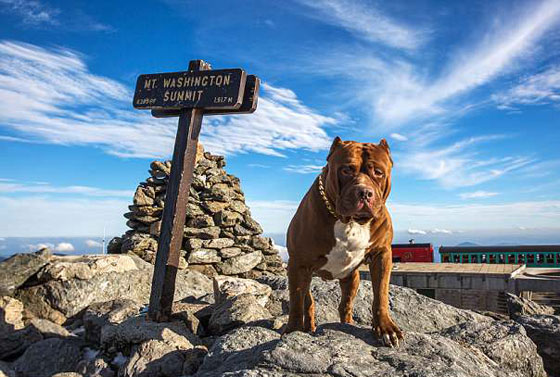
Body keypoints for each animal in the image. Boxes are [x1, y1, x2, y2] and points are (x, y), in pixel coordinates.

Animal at [284, 136, 402, 346]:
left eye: (378, 172)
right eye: (346, 170)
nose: (364, 192)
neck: (351, 221)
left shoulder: (382, 254)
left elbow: (381, 293)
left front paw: (386, 328)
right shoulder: (299, 264)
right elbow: (296, 301)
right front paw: (294, 331)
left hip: (352, 279)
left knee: (345, 305)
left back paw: (346, 323)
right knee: (308, 302)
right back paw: (308, 327)